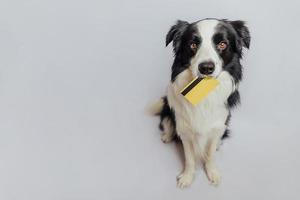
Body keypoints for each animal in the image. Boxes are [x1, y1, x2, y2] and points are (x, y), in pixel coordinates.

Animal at [150, 18, 251, 188]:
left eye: (222, 44)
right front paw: (187, 177)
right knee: (167, 123)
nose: (206, 68)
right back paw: (167, 136)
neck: (204, 93)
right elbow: (189, 158)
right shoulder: (185, 129)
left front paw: (212, 173)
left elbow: (209, 154)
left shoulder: (218, 126)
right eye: (193, 44)